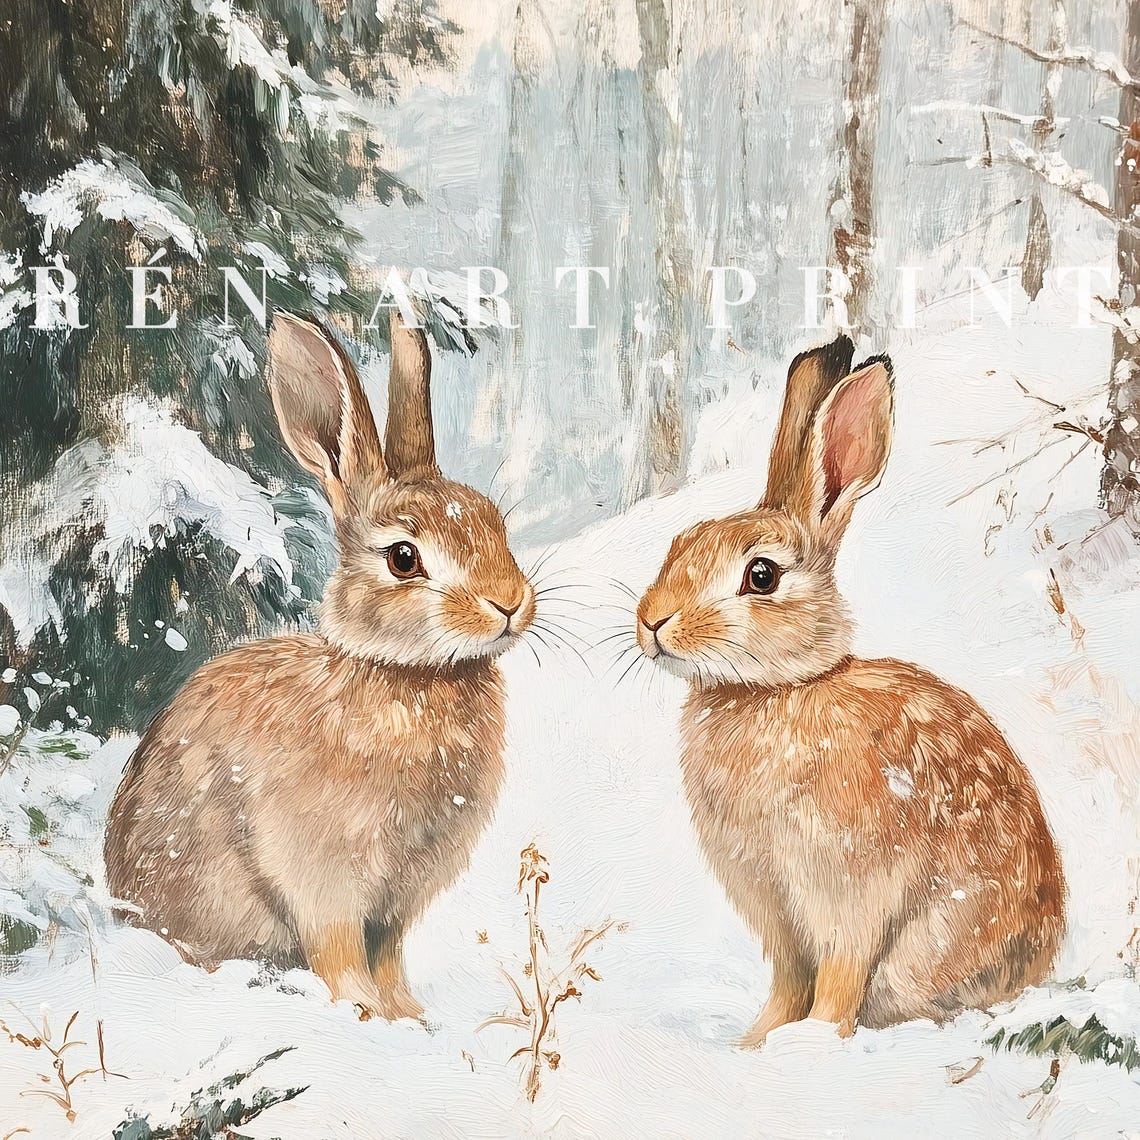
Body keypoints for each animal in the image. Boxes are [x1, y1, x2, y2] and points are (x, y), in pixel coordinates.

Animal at [104, 310, 536, 1021]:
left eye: (495, 524)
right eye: (403, 559)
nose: (508, 603)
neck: (405, 675)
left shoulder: (398, 901)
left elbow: (387, 954)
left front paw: (409, 1016)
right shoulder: (323, 874)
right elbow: (340, 953)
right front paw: (365, 1014)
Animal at [635, 336, 1064, 1045]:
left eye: (760, 575)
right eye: (679, 543)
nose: (652, 621)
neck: (777, 691)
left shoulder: (847, 893)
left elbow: (837, 977)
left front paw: (811, 1044)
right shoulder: (776, 912)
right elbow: (787, 982)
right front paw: (754, 1044)